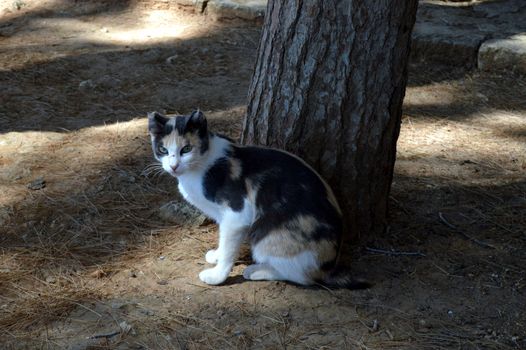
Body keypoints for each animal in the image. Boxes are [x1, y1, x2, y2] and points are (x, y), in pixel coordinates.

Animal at [148, 110, 372, 288]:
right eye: (163, 150)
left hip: (267, 237)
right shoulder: (222, 216)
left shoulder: (237, 213)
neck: (203, 164)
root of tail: (330, 265)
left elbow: (229, 247)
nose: (173, 166)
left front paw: (217, 276)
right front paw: (217, 254)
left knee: (304, 277)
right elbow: (223, 238)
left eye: (186, 149)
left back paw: (256, 271)